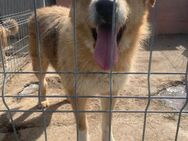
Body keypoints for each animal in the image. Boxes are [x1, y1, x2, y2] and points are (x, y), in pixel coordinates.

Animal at [28, 0, 156, 140]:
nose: (106, 6)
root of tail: (42, 9)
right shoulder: (78, 94)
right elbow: (82, 127)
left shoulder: (110, 91)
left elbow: (107, 123)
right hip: (39, 64)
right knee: (43, 82)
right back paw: (42, 101)